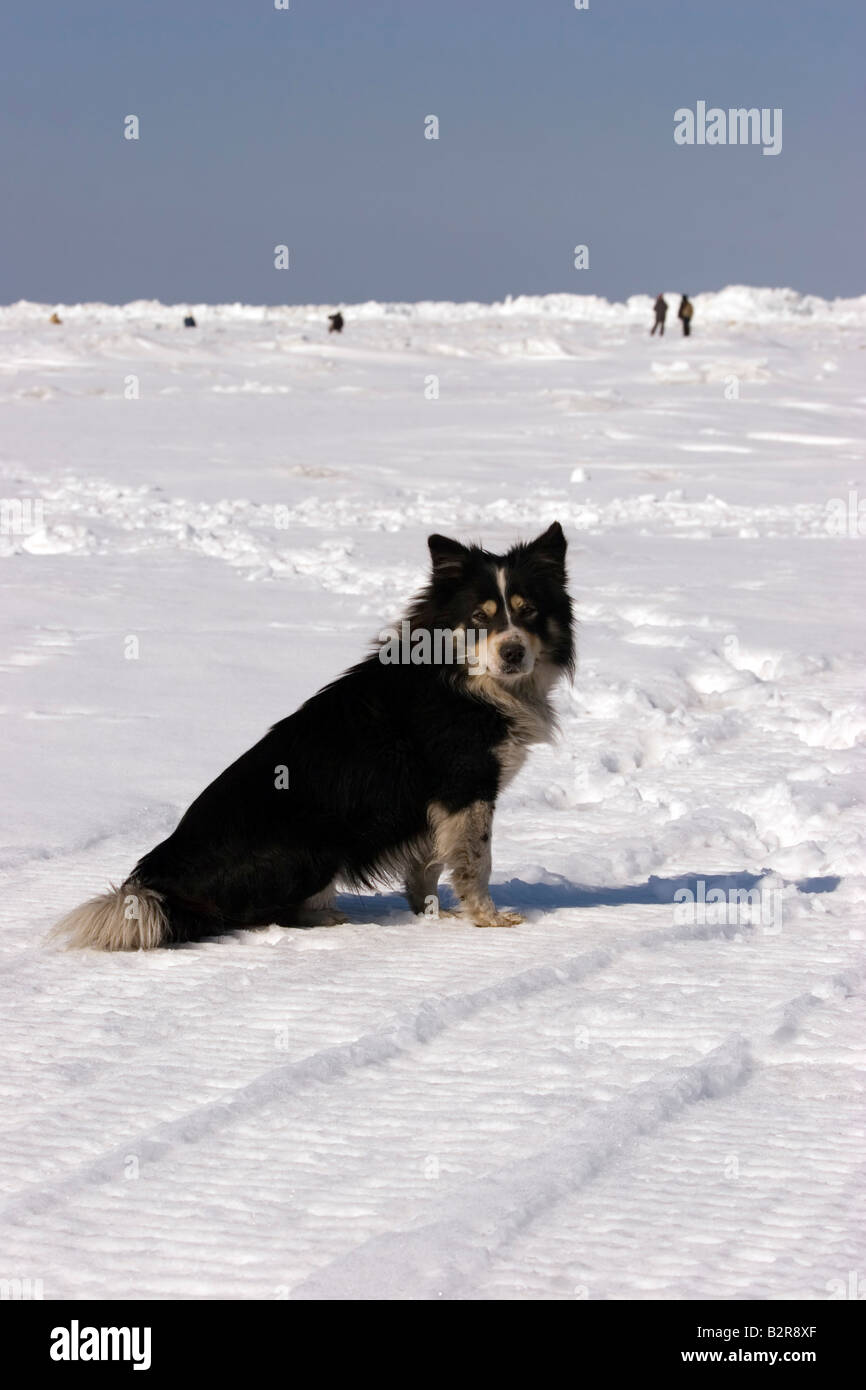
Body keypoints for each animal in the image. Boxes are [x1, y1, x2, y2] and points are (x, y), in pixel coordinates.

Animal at [50, 525, 572, 950]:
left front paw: (432, 914)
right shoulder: (466, 786)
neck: (467, 680)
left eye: (528, 612)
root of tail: (164, 889)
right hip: (312, 847)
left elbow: (427, 865)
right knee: (256, 915)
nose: (512, 653)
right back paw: (332, 919)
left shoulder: (433, 803)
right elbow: (475, 860)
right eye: (480, 618)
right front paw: (489, 920)